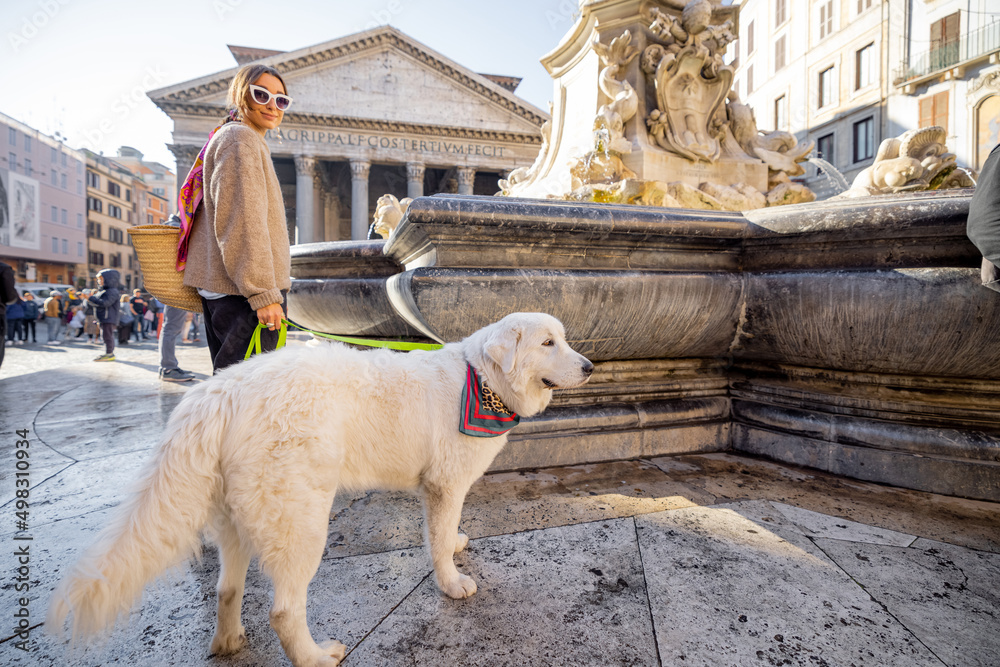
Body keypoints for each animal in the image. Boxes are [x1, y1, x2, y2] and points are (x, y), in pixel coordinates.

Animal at [47, 314, 592, 667]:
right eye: (548, 343)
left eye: (563, 340)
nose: (589, 367)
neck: (483, 381)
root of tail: (221, 389)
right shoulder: (444, 485)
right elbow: (437, 541)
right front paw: (452, 582)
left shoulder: (441, 490)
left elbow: (446, 532)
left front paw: (456, 545)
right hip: (300, 522)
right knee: (284, 610)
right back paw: (316, 656)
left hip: (238, 519)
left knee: (227, 588)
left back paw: (229, 642)